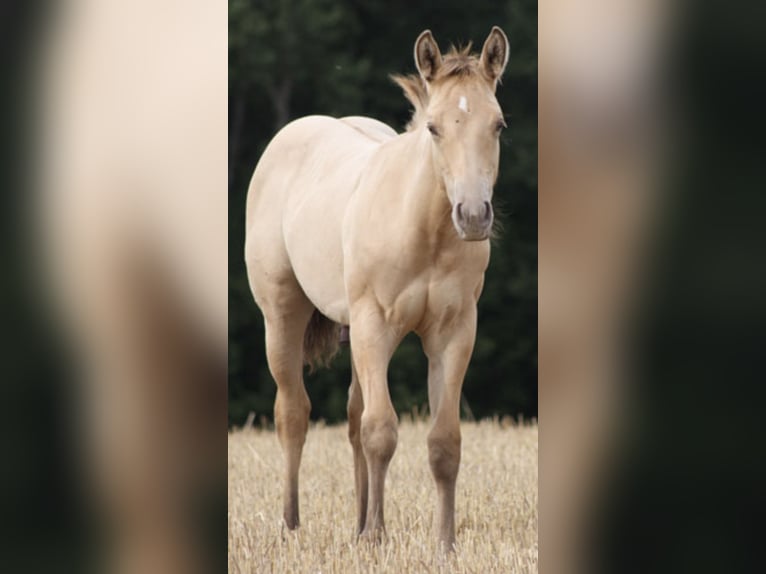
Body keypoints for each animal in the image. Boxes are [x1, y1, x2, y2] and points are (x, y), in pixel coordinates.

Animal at [245, 27, 509, 549]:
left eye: (498, 125)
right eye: (434, 128)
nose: (473, 215)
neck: (423, 228)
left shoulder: (454, 334)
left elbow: (443, 442)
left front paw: (443, 543)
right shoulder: (374, 325)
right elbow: (381, 432)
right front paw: (375, 538)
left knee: (352, 417)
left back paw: (358, 518)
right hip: (283, 317)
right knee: (294, 414)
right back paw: (291, 524)